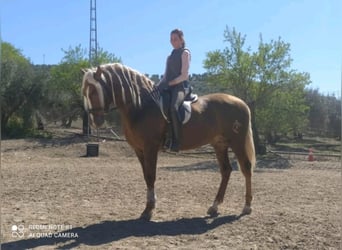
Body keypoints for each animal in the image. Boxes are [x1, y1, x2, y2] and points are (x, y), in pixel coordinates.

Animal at [81, 63, 255, 221]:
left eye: (94, 91)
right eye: (85, 92)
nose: (95, 121)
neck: (141, 107)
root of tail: (241, 102)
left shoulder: (150, 148)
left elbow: (151, 175)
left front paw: (149, 210)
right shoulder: (139, 150)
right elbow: (146, 176)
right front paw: (149, 206)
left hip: (237, 142)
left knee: (246, 169)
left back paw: (247, 207)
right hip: (220, 144)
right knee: (226, 171)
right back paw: (214, 206)